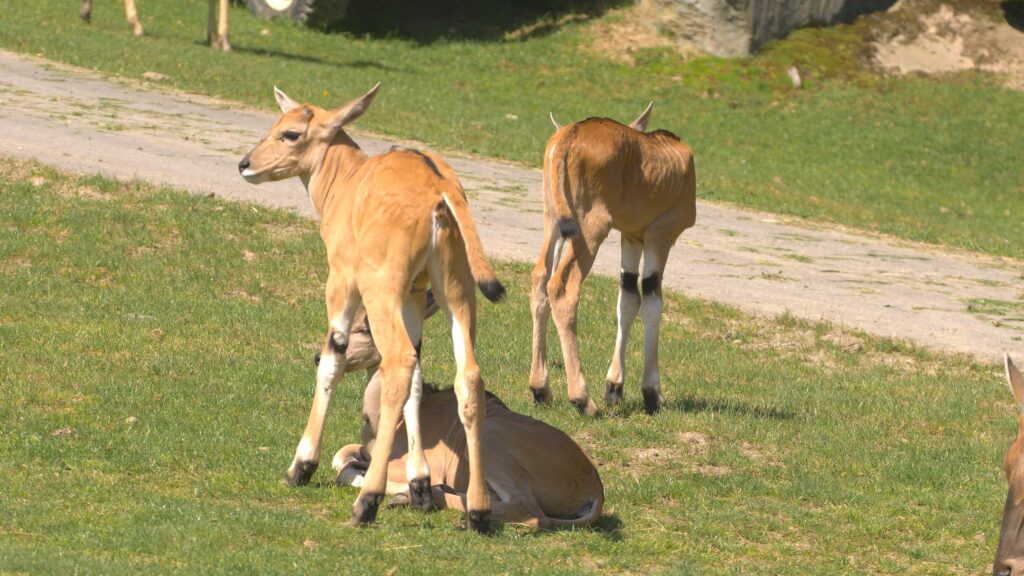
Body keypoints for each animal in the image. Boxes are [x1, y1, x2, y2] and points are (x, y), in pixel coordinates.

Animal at [236, 84, 507, 528]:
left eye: (290, 133)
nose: (245, 164)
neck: (349, 182)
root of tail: (440, 192)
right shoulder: (415, 296)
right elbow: (418, 380)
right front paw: (420, 487)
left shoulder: (342, 286)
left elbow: (332, 361)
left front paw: (300, 467)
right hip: (456, 293)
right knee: (466, 377)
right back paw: (477, 512)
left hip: (381, 292)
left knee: (397, 362)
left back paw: (366, 501)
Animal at [528, 104, 696, 416]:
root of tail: (567, 136)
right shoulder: (659, 236)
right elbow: (652, 302)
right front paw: (651, 393)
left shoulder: (630, 238)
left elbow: (627, 300)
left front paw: (615, 387)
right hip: (591, 228)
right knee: (563, 288)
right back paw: (582, 398)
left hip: (553, 222)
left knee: (540, 280)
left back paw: (540, 388)